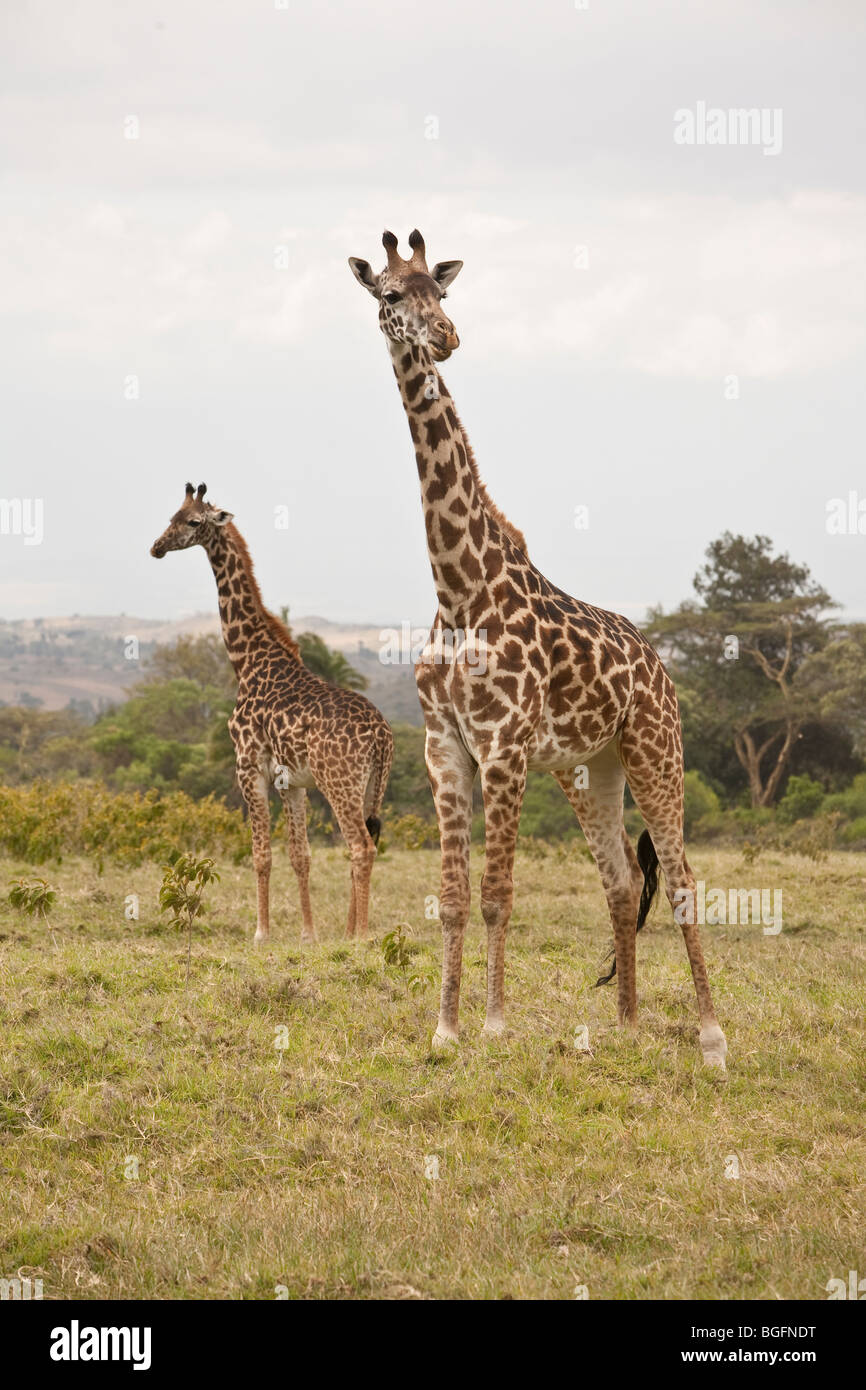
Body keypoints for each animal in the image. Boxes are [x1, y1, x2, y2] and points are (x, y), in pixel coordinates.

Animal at [150, 486, 391, 945]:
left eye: (193, 522)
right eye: (170, 516)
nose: (156, 547)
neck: (247, 662)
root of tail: (382, 736)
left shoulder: (248, 766)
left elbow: (261, 855)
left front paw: (261, 932)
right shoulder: (291, 783)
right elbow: (301, 856)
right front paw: (308, 934)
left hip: (339, 781)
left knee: (361, 847)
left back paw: (361, 935)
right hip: (373, 785)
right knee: (367, 840)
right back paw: (348, 930)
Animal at [348, 233, 728, 1067]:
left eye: (443, 295)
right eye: (390, 295)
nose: (446, 339)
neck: (460, 589)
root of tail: (658, 664)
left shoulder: (504, 748)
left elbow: (497, 896)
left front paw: (492, 1025)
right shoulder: (445, 749)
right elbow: (453, 897)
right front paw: (446, 1029)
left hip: (655, 749)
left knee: (684, 877)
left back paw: (713, 1038)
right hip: (591, 768)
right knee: (621, 879)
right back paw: (626, 1025)